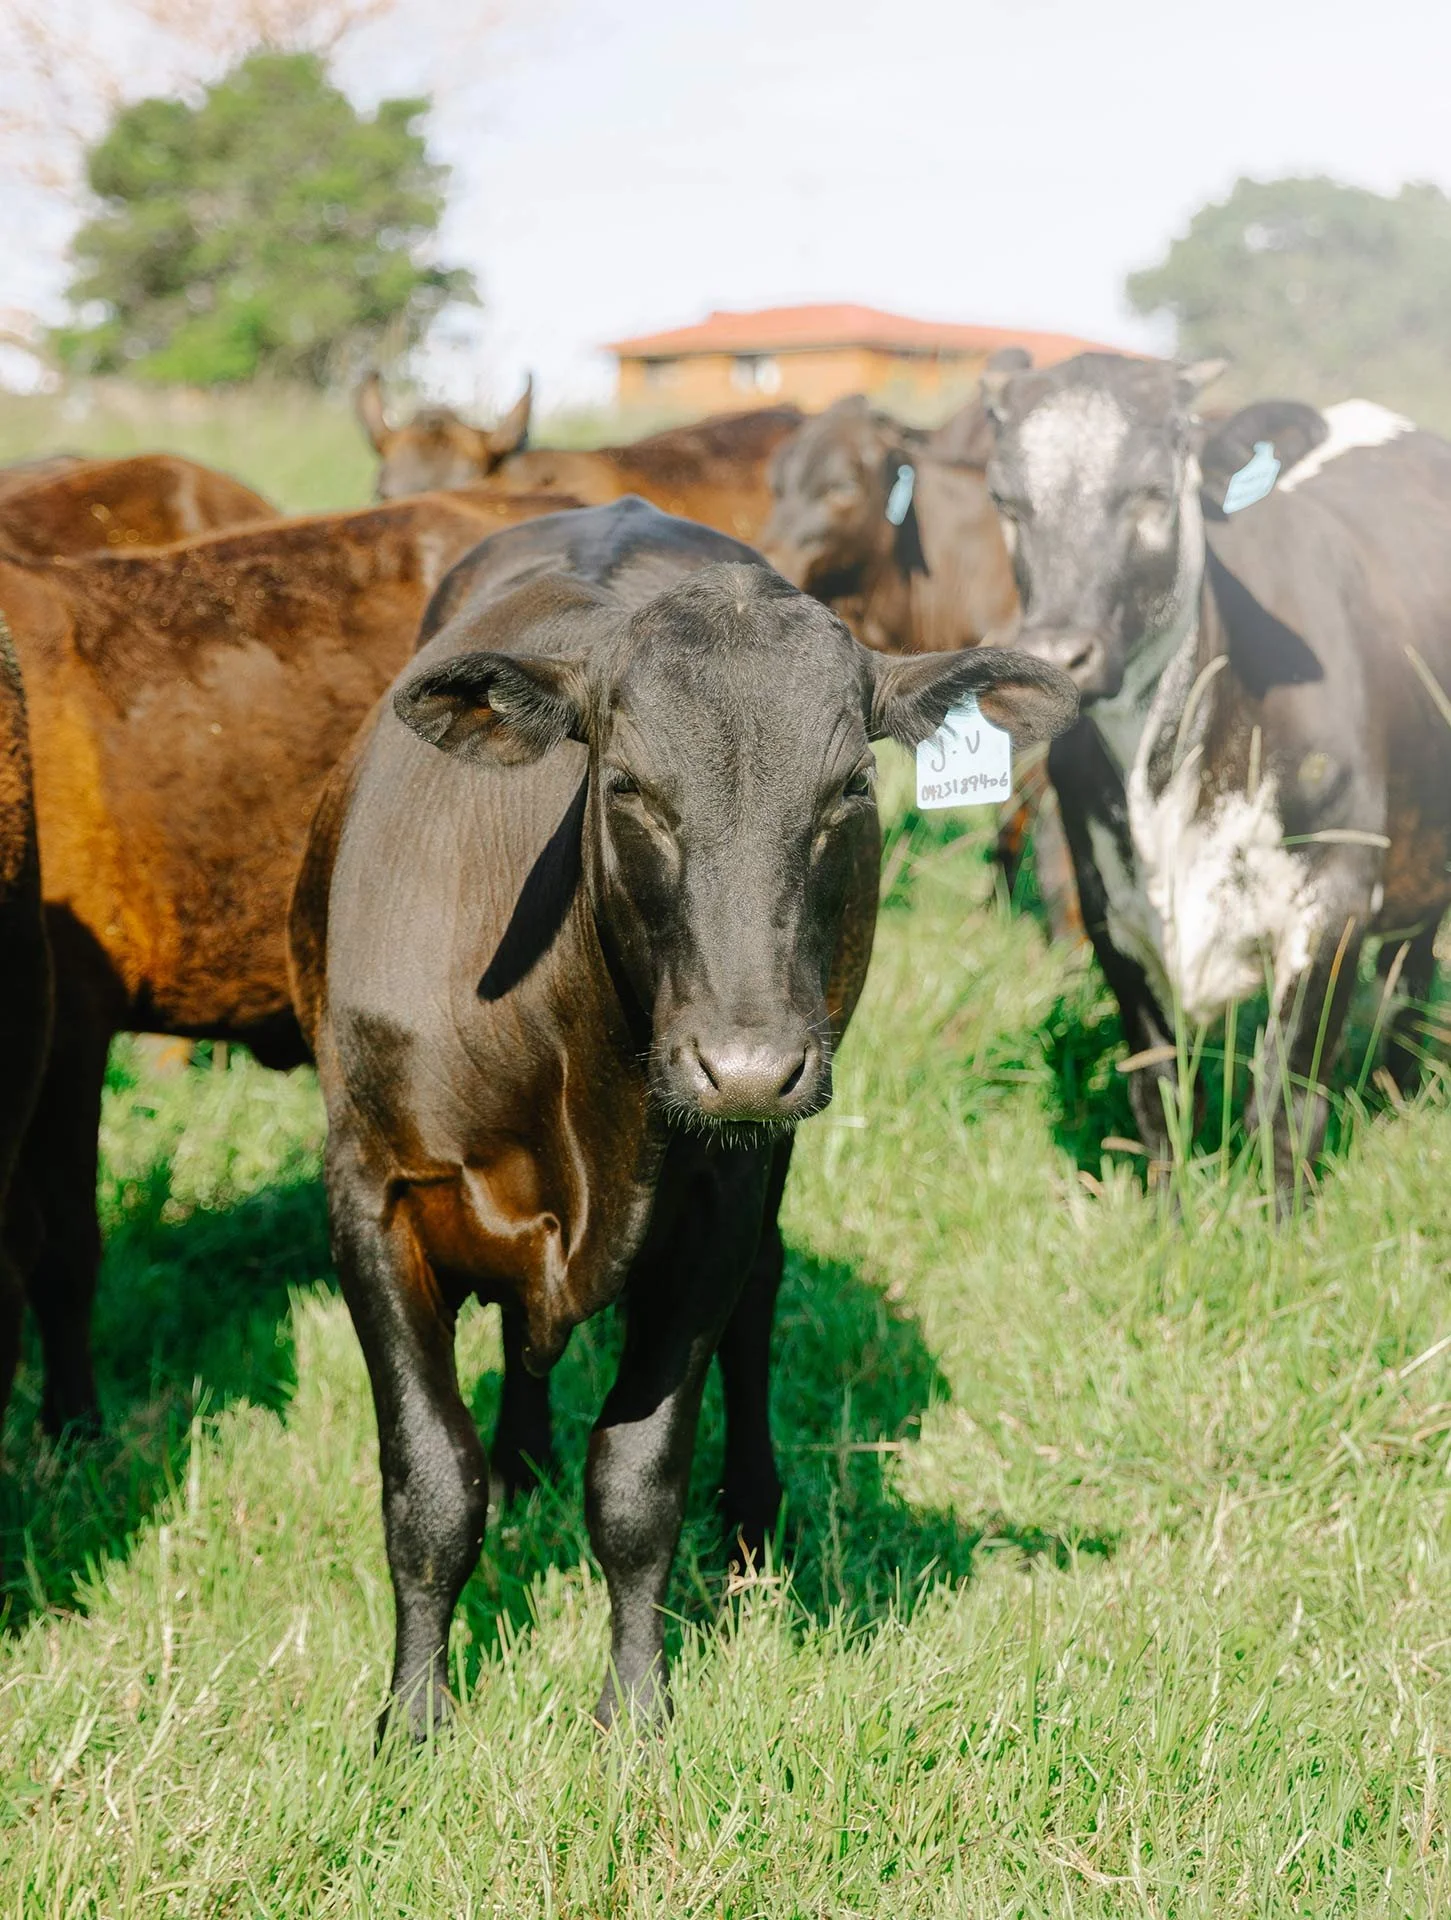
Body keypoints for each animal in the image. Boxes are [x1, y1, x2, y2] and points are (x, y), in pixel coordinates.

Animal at [287, 497, 1078, 1735]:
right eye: (628, 789)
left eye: (849, 790)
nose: (745, 1069)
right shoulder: (372, 1195)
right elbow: (428, 1484)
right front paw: (411, 1717)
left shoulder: (714, 1205)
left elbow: (636, 1479)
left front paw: (635, 1711)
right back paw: (521, 1462)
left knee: (760, 1298)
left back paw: (750, 1519)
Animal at [983, 351, 1451, 1201]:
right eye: (1005, 499)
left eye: (1150, 492)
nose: (1056, 657)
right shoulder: (1110, 910)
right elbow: (1158, 1095)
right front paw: (1168, 1221)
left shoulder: (1332, 900)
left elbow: (1285, 1103)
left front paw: (1277, 1226)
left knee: (1407, 978)